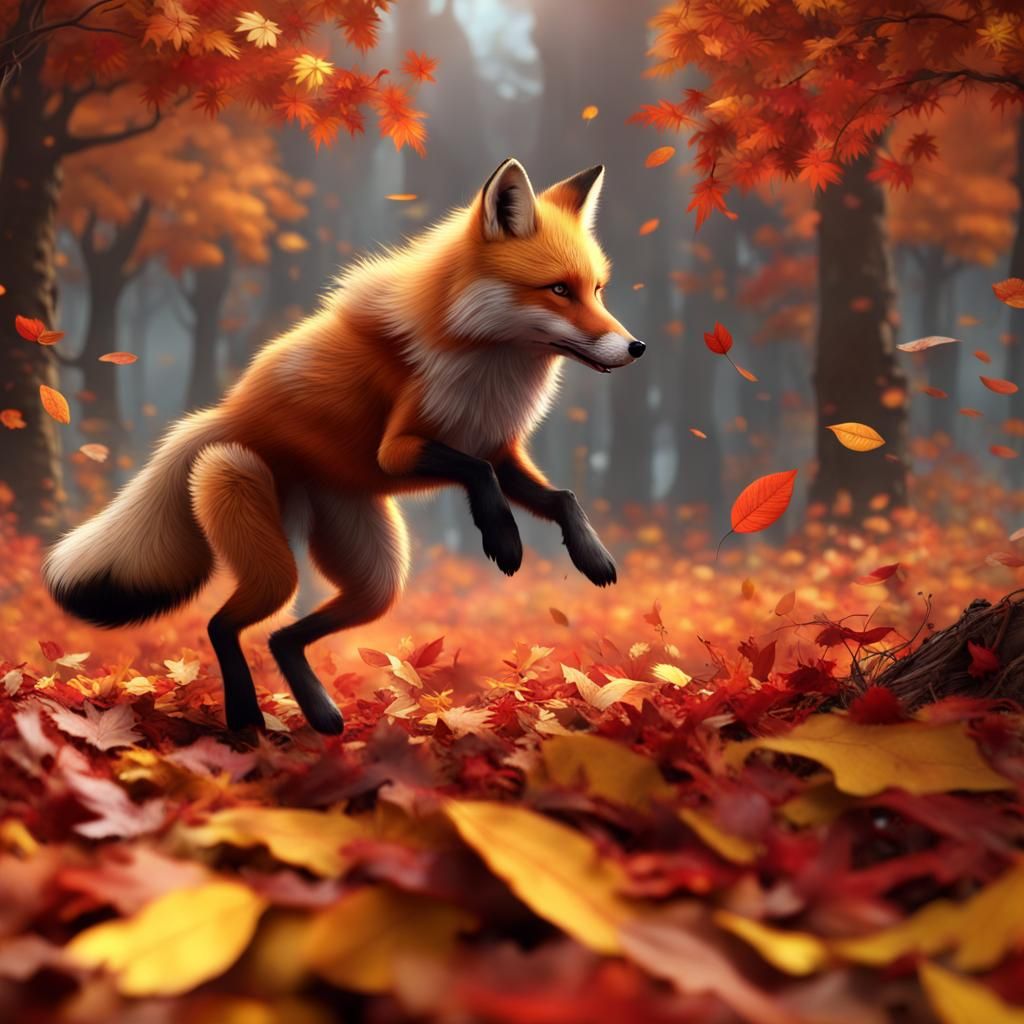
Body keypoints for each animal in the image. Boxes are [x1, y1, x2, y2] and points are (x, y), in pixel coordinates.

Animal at [43, 158, 646, 735]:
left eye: (596, 289)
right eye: (559, 289)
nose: (637, 347)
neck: (486, 367)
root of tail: (221, 416)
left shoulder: (502, 450)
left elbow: (562, 496)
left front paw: (591, 556)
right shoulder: (400, 452)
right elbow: (477, 474)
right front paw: (503, 539)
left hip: (377, 578)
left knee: (281, 637)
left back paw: (319, 714)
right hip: (276, 562)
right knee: (222, 624)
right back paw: (245, 719)